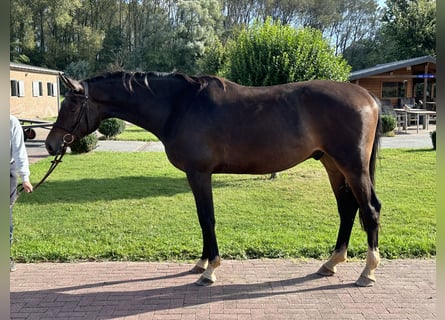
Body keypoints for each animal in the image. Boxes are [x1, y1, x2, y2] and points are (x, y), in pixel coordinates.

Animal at [46, 71, 382, 286]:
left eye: (72, 104)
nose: (51, 144)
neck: (179, 105)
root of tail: (367, 96)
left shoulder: (200, 173)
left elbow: (207, 218)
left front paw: (210, 270)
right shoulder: (196, 175)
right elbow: (202, 218)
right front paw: (202, 263)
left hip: (353, 167)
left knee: (370, 211)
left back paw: (367, 272)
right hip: (332, 164)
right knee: (347, 209)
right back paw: (331, 263)